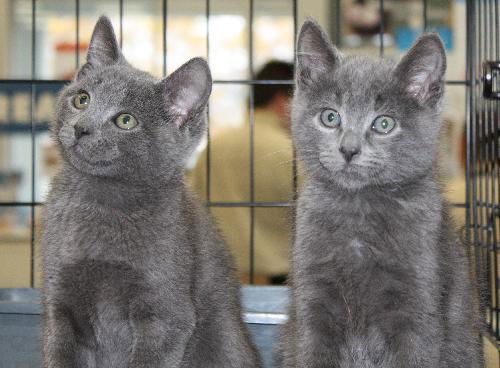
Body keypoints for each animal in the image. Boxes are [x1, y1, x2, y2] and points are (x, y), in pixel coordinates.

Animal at [42, 15, 262, 366]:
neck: (100, 201)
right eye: (82, 99)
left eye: (126, 120)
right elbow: (59, 355)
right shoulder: (59, 304)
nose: (81, 128)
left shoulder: (165, 315)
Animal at [280, 20, 482, 368]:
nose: (348, 149)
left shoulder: (418, 304)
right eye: (330, 117)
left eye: (384, 124)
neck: (358, 209)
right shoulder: (312, 298)